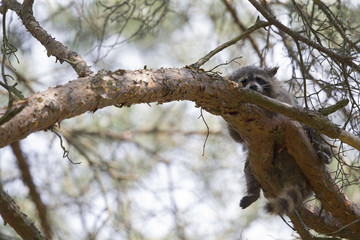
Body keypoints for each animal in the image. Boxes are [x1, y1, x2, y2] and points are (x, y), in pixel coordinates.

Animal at [228, 65, 332, 216]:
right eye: (244, 81)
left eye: (258, 79)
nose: (253, 87)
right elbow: (235, 135)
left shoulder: (282, 99)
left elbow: (287, 109)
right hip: (257, 161)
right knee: (250, 168)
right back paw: (253, 192)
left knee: (314, 129)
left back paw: (324, 151)